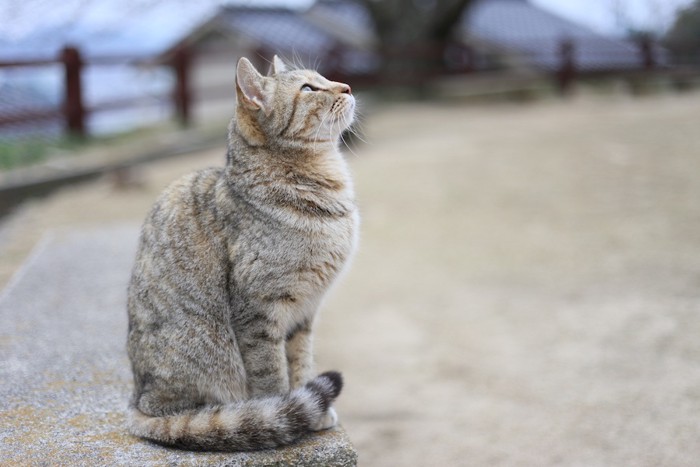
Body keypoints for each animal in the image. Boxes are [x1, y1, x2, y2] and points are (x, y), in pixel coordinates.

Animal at [124, 55, 360, 454]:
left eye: (324, 78)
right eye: (308, 89)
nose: (346, 85)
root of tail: (137, 401)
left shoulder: (305, 312)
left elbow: (301, 362)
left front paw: (310, 410)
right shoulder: (259, 312)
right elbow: (272, 375)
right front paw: (282, 412)